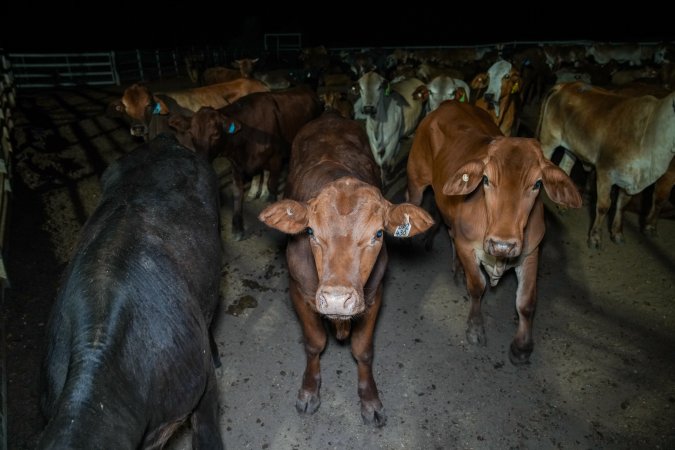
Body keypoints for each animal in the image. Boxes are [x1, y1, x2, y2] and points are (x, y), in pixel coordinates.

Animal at [168, 84, 322, 239]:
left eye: (216, 134)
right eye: (191, 134)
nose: (201, 160)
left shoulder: (276, 159)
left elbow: (272, 185)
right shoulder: (236, 165)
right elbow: (237, 194)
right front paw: (237, 226)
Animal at [256, 110, 436, 428]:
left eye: (378, 234)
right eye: (311, 232)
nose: (337, 300)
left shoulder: (374, 294)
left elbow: (363, 351)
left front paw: (370, 400)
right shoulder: (298, 291)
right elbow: (314, 343)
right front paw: (309, 390)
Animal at [404, 102, 584, 366]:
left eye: (537, 184)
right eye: (486, 179)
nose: (503, 244)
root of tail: (448, 104)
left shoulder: (531, 253)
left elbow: (526, 302)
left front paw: (522, 347)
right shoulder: (468, 246)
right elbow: (477, 286)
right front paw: (475, 328)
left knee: (449, 229)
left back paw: (456, 268)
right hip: (417, 180)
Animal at [540, 82, 675, 248]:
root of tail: (565, 85)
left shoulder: (629, 180)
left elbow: (622, 206)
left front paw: (617, 233)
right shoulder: (605, 171)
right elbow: (604, 205)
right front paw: (595, 237)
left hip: (571, 148)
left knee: (565, 167)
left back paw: (562, 204)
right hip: (549, 139)